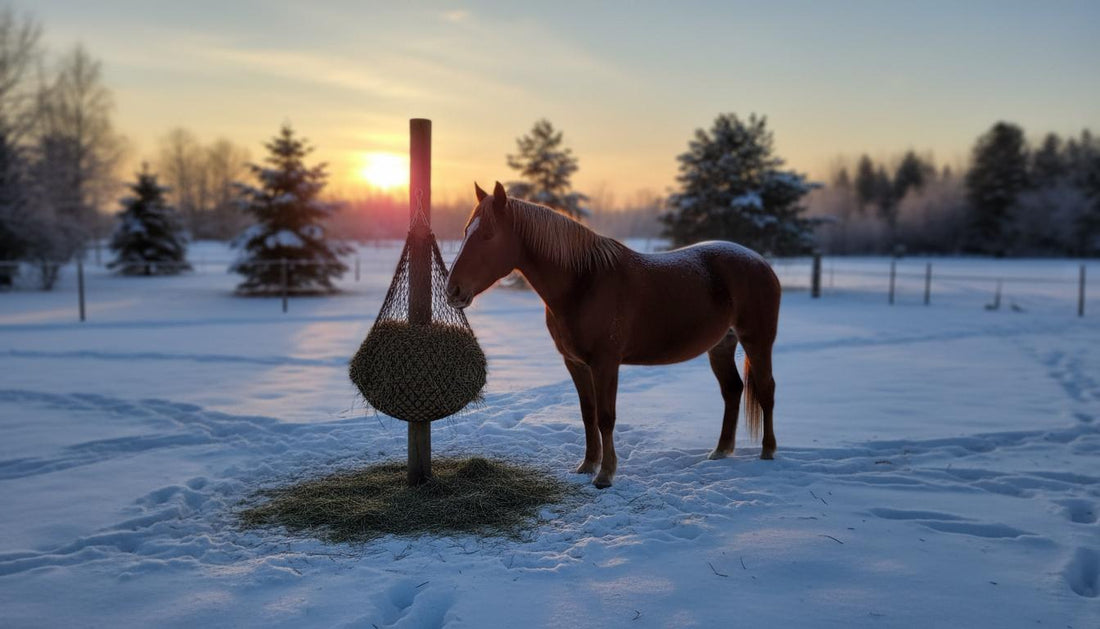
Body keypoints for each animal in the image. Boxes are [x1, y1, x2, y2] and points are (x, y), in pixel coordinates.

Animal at [446, 182, 781, 488]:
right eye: (465, 231)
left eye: (488, 234)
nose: (453, 290)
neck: (583, 282)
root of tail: (761, 262)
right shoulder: (576, 364)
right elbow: (588, 414)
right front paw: (587, 465)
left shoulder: (605, 363)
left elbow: (606, 417)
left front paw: (605, 475)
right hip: (721, 346)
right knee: (732, 390)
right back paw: (721, 450)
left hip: (757, 342)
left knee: (766, 389)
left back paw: (768, 451)